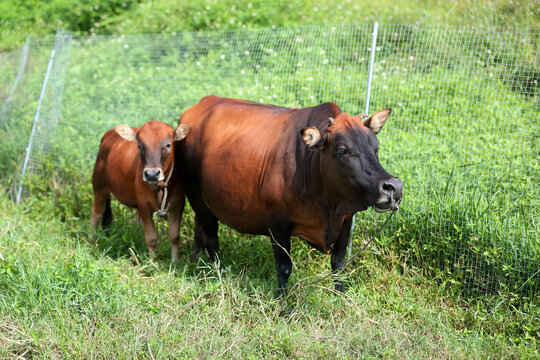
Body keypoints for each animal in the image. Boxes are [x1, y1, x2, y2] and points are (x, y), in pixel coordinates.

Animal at [93, 121, 192, 262]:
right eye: (139, 146)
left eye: (168, 145)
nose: (152, 174)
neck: (159, 188)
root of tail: (109, 134)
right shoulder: (144, 204)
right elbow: (151, 238)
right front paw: (152, 262)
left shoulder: (178, 203)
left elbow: (174, 236)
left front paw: (175, 261)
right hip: (99, 186)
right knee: (96, 214)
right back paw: (91, 238)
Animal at [176, 96, 400, 292]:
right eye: (343, 150)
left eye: (376, 148)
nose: (393, 186)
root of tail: (202, 103)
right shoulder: (277, 222)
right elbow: (284, 268)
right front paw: (282, 303)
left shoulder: (346, 219)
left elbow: (339, 264)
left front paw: (341, 296)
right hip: (196, 194)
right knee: (211, 236)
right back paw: (219, 272)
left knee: (199, 228)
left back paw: (197, 260)